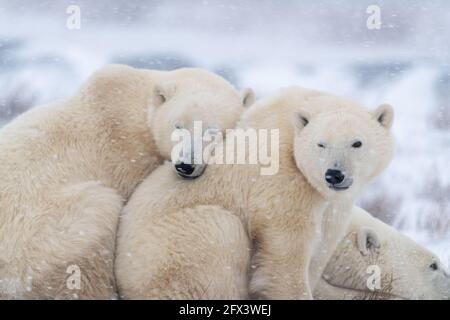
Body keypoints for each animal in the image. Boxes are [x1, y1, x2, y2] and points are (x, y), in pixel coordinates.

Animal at [115, 86, 394, 298]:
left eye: (357, 143)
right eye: (321, 144)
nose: (334, 174)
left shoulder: (333, 205)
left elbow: (321, 246)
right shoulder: (281, 183)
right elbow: (285, 257)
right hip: (166, 250)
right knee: (220, 232)